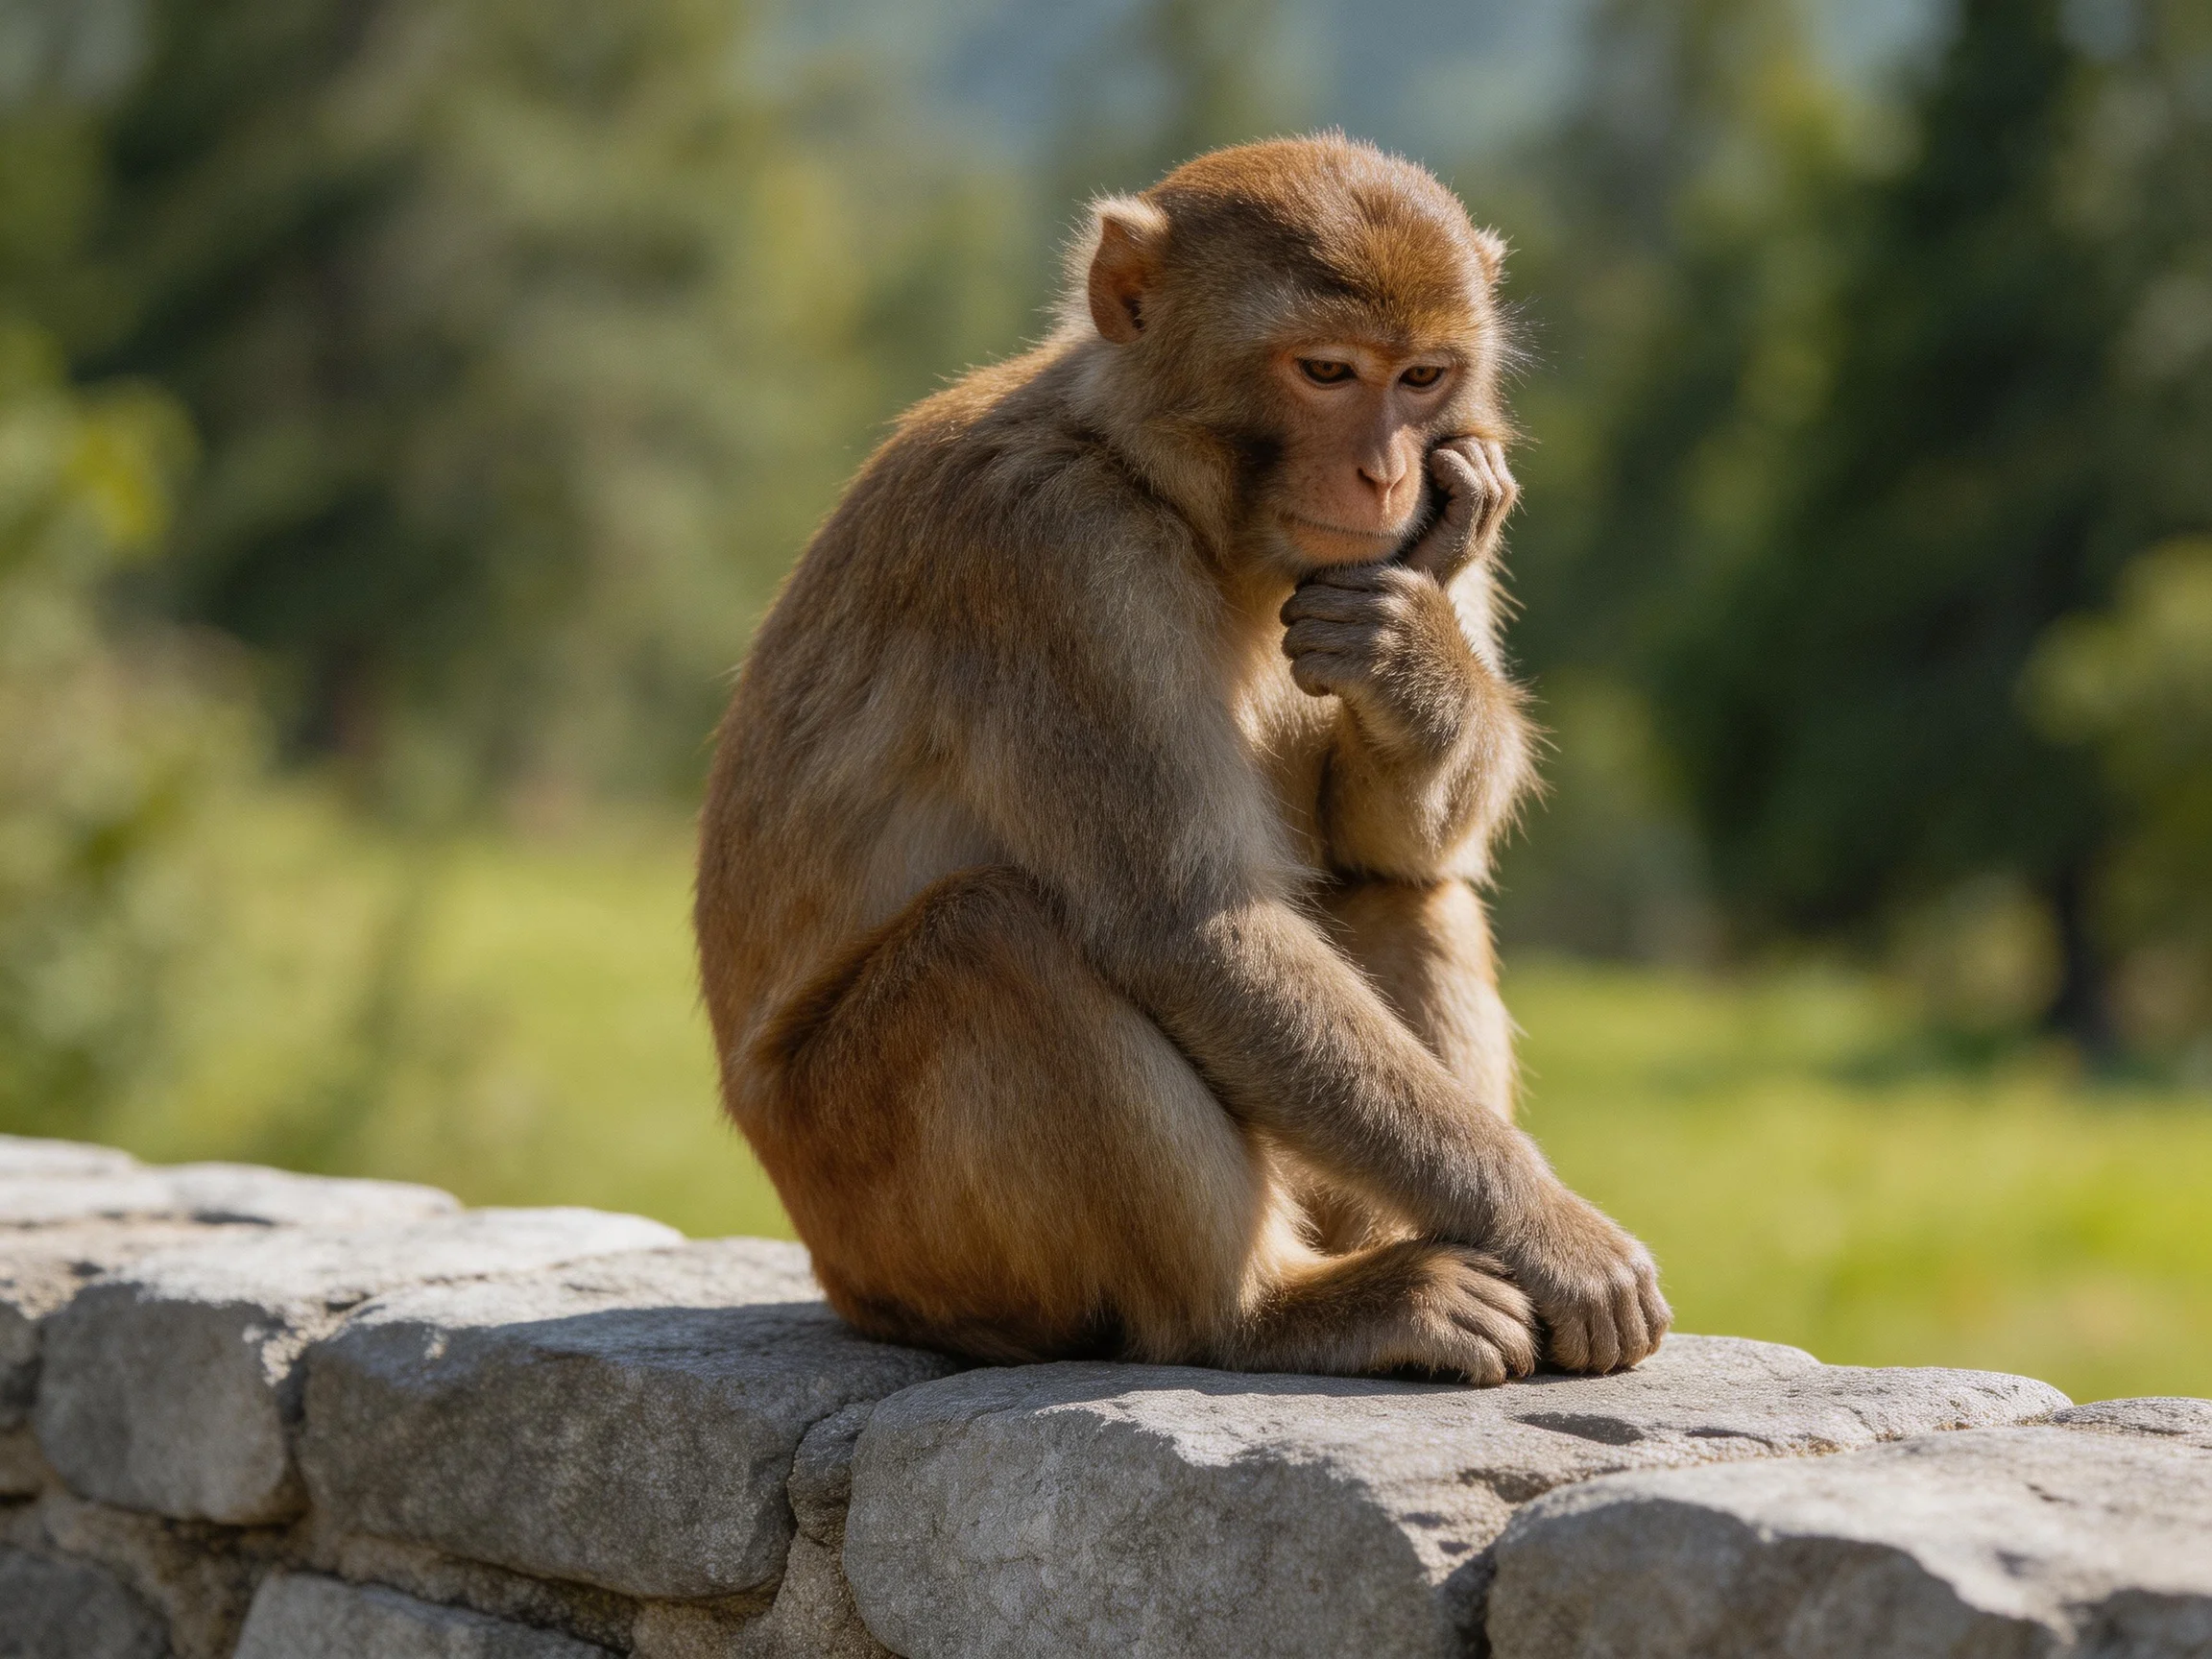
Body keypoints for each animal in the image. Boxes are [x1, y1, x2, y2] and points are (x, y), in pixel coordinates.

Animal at [695, 134, 1669, 1384]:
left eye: (1421, 379)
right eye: (1326, 372)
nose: (1387, 476)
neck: (1159, 484)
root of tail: (835, 1273)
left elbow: (1386, 845)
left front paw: (1418, 644)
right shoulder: (1056, 553)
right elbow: (1190, 927)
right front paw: (1550, 1232)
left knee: (1402, 893)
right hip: (882, 1213)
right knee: (991, 937)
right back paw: (1268, 1311)